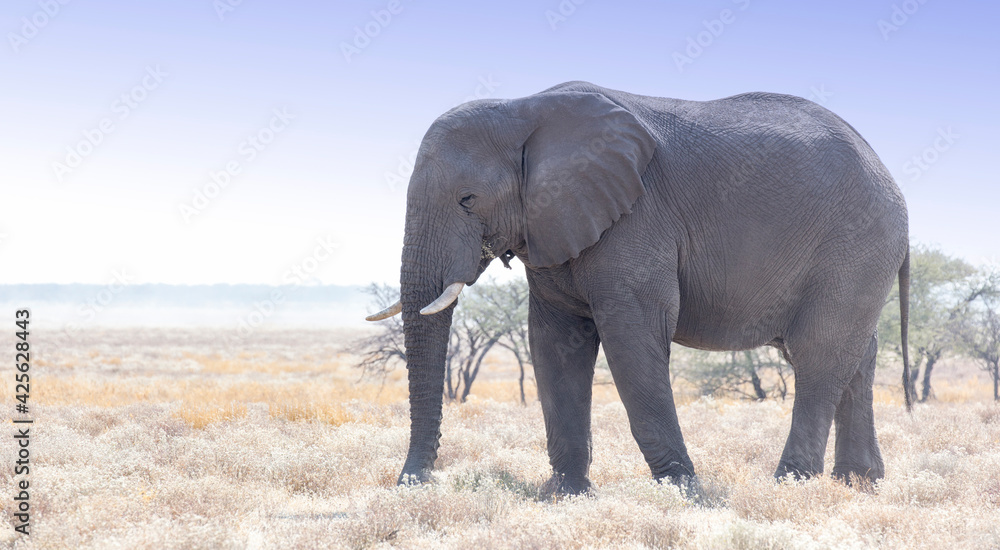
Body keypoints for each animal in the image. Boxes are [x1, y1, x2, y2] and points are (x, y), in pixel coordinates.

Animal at [367, 81, 911, 496]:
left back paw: (789, 486)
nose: (411, 484)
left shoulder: (637, 218)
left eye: (468, 199)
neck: (523, 107)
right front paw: (562, 495)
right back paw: (859, 483)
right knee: (855, 356)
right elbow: (554, 345)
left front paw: (687, 493)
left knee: (818, 353)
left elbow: (632, 339)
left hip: (857, 242)